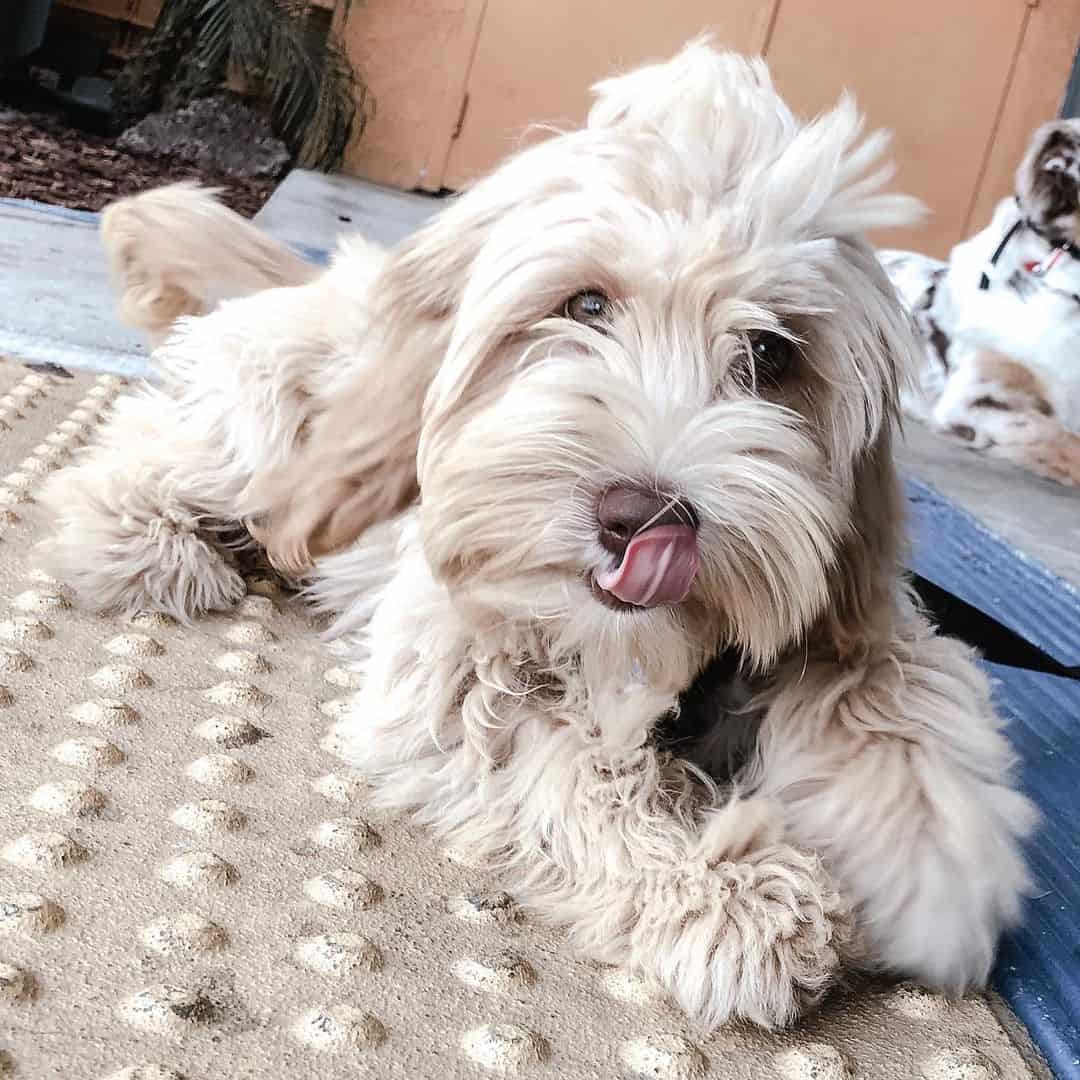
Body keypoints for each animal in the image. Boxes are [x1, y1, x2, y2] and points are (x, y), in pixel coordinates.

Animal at [42, 42, 1036, 1032]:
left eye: (773, 354)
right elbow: (553, 754)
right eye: (585, 305)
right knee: (156, 447)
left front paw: (927, 848)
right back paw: (143, 541)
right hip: (272, 424)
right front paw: (725, 889)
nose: (645, 517)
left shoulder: (832, 586)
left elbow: (892, 674)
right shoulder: (451, 654)